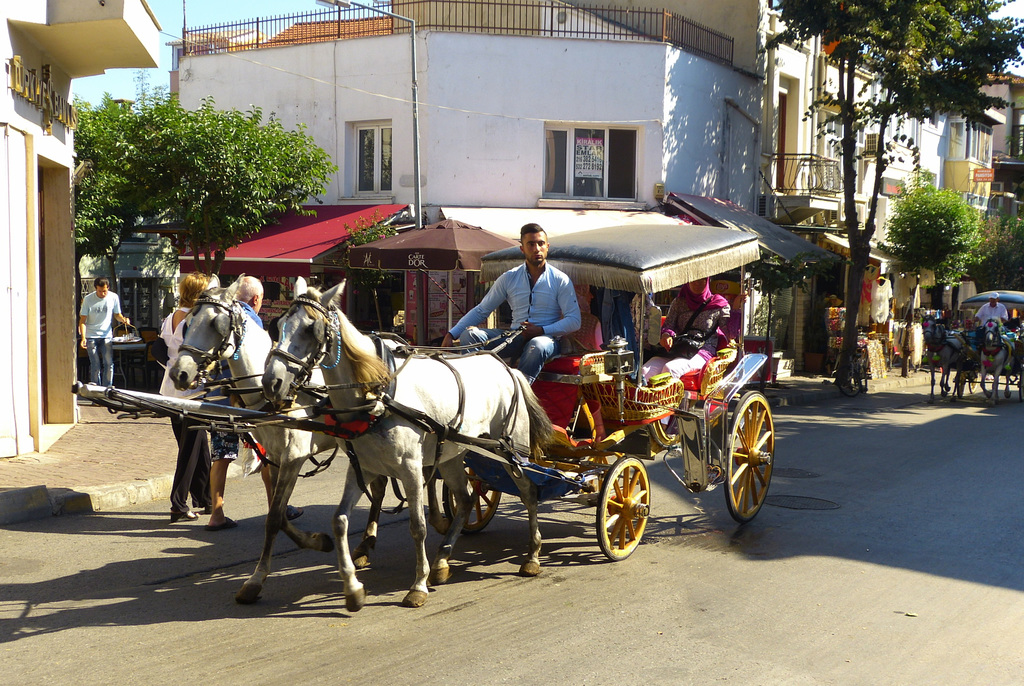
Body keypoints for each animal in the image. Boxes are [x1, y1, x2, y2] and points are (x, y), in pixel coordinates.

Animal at [167, 276, 391, 606]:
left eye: (215, 324)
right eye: (188, 323)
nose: (180, 373)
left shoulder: (293, 457)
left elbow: (274, 518)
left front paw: (256, 580)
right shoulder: (273, 457)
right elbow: (277, 513)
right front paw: (318, 541)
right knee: (378, 484)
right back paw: (365, 545)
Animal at [264, 284, 552, 614]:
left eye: (311, 329)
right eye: (278, 325)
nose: (272, 382)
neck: (378, 394)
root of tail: (506, 368)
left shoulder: (411, 468)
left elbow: (418, 526)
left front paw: (418, 586)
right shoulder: (362, 466)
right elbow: (339, 521)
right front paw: (353, 588)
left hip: (511, 451)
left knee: (529, 492)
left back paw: (532, 556)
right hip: (453, 456)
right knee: (466, 499)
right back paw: (442, 560)